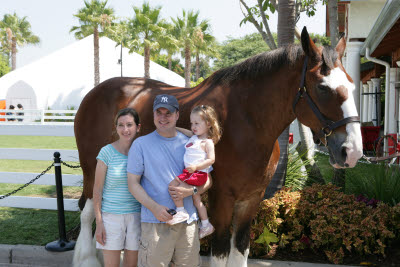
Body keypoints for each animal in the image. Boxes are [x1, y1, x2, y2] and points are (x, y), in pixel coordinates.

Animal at [74, 28, 362, 266]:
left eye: (351, 84)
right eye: (323, 88)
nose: (352, 151)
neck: (247, 120)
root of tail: (94, 93)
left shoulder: (251, 199)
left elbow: (240, 249)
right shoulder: (222, 198)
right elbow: (221, 251)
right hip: (92, 170)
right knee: (88, 211)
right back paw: (87, 258)